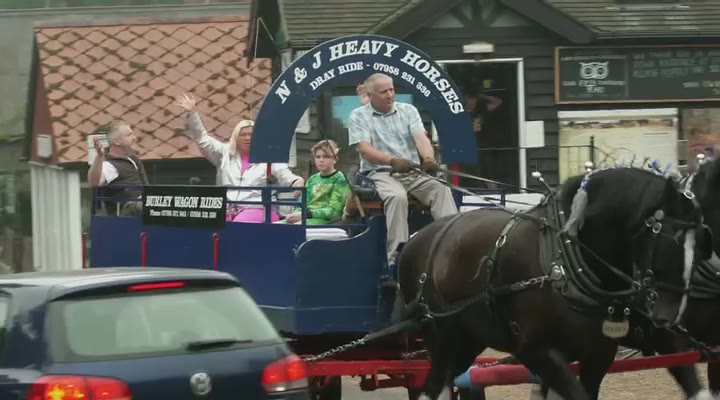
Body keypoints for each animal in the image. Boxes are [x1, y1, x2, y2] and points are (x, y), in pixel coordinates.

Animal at [391, 165, 711, 400]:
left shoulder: (598, 354)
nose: (670, 317)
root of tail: (415, 241)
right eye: (669, 238)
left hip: (468, 340)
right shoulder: (535, 350)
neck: (564, 264)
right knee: (433, 387)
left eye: (702, 244)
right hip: (443, 337)